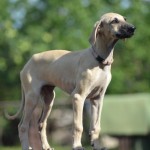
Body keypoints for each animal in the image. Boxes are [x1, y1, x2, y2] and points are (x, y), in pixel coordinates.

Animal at [5, 12, 135, 149]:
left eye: (124, 19)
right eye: (114, 21)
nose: (133, 28)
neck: (99, 60)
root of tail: (27, 63)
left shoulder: (97, 99)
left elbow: (96, 127)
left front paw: (97, 146)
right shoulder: (78, 97)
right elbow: (78, 126)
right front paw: (77, 146)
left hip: (49, 99)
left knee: (41, 124)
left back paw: (46, 146)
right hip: (32, 98)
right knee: (23, 126)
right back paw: (27, 146)